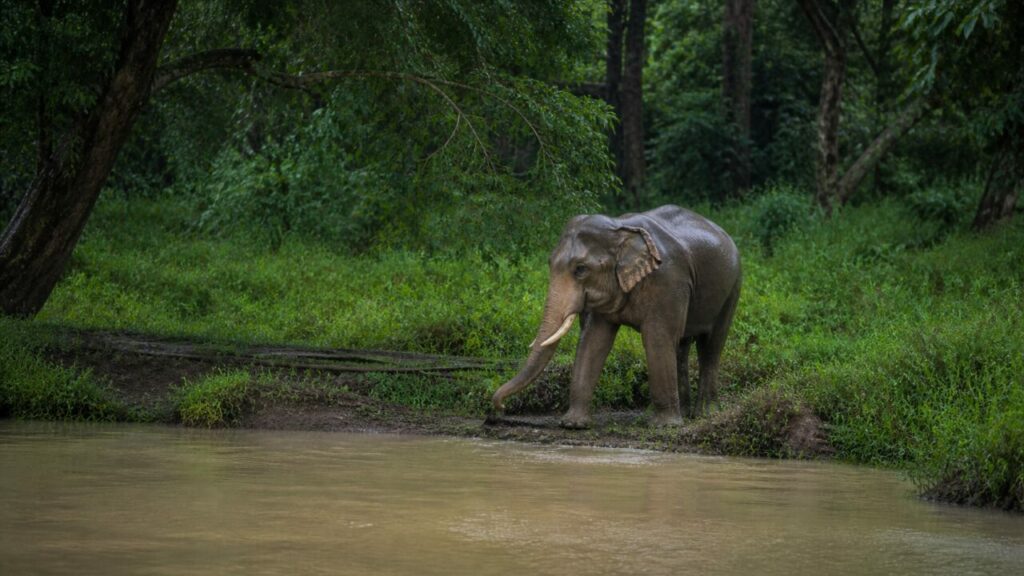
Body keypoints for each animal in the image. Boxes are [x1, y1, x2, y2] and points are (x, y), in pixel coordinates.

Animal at [492, 205, 741, 428]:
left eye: (580, 269)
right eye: (549, 263)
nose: (501, 407)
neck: (619, 227)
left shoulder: (668, 281)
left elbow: (657, 338)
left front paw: (664, 426)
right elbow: (593, 340)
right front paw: (573, 424)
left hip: (732, 288)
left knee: (711, 345)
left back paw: (704, 414)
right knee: (681, 344)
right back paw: (686, 413)